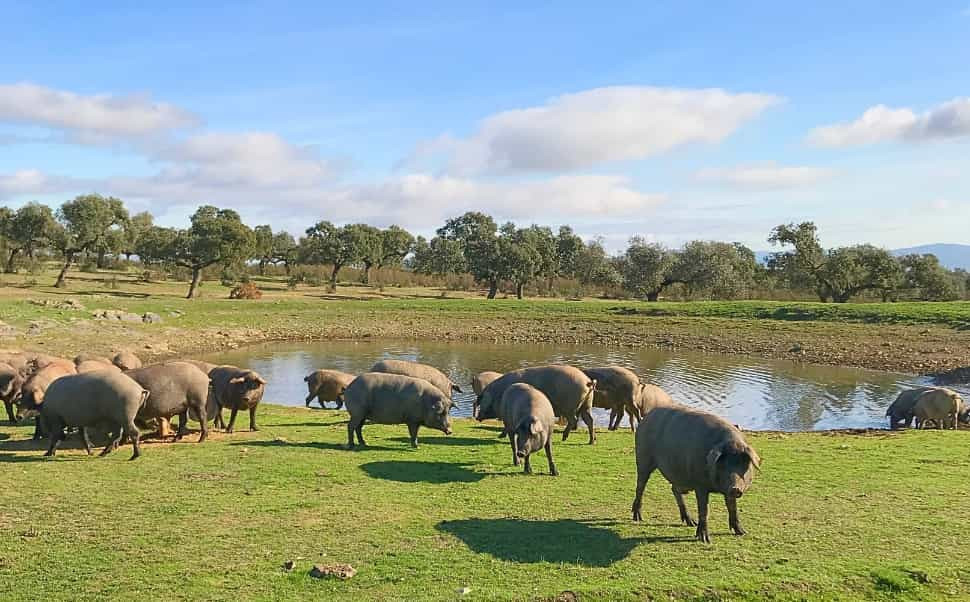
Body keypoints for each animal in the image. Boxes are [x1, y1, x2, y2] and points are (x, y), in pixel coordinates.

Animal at [632, 400, 760, 540]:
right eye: (724, 466)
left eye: (744, 466)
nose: (735, 488)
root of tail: (646, 417)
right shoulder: (700, 485)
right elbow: (704, 509)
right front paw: (704, 539)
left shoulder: (727, 491)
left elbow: (732, 507)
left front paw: (742, 532)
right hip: (642, 459)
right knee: (640, 486)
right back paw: (637, 518)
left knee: (674, 489)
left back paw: (690, 522)